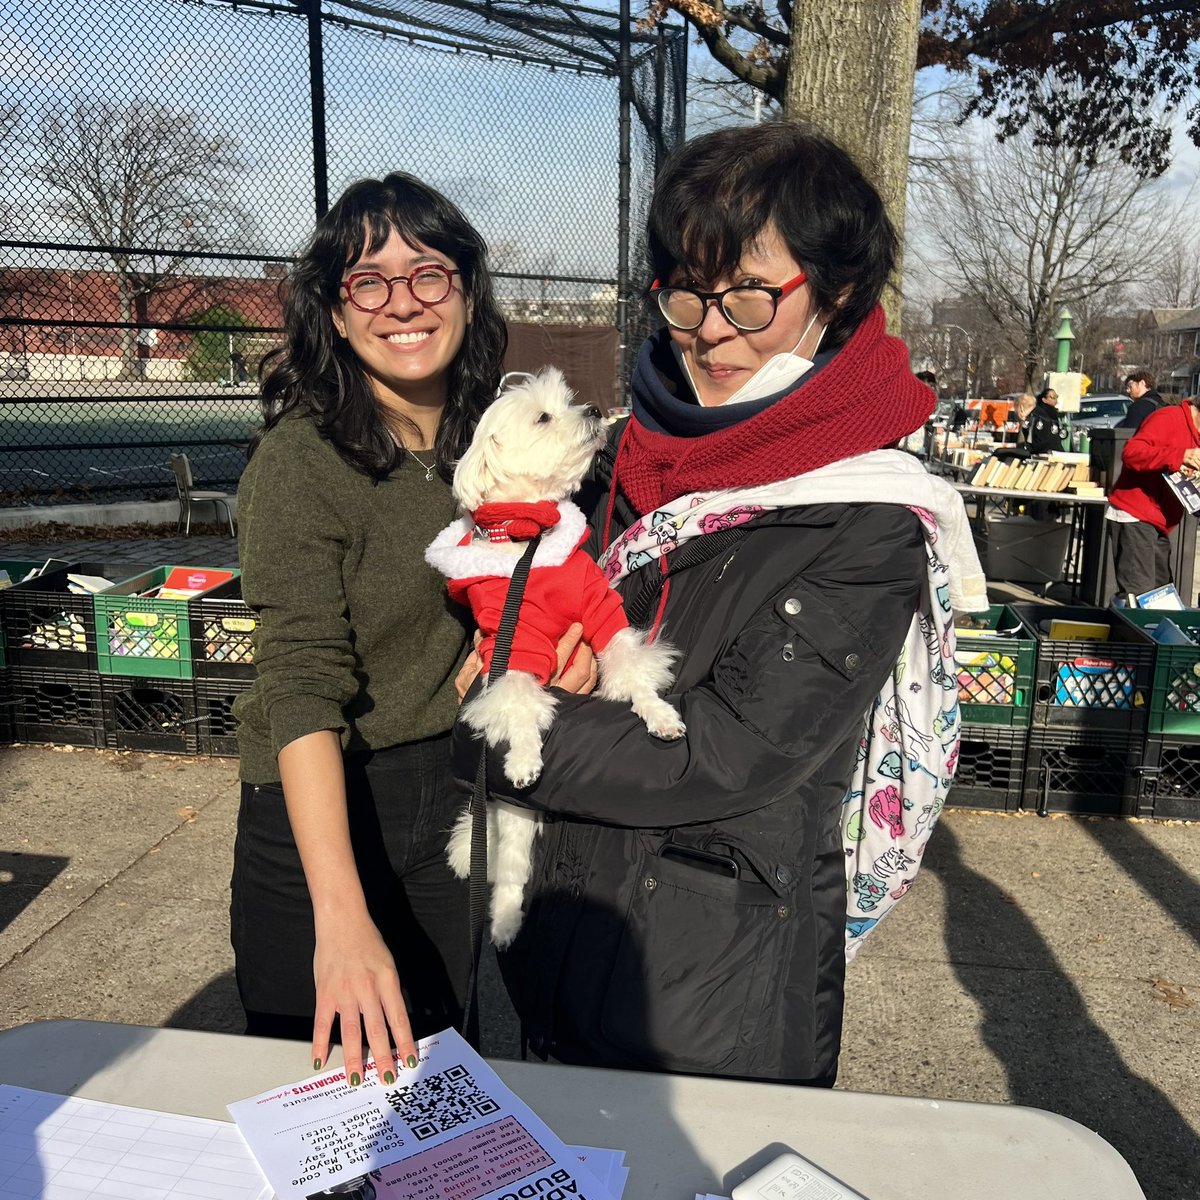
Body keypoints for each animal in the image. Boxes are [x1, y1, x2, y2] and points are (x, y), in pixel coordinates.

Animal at [424, 364, 686, 945]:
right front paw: (524, 757)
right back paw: (502, 923)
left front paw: (658, 714)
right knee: (508, 876)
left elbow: (629, 665)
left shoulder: (599, 609)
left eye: (569, 402)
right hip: (511, 819)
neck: (532, 541)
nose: (592, 410)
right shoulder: (513, 643)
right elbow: (520, 701)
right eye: (544, 417)